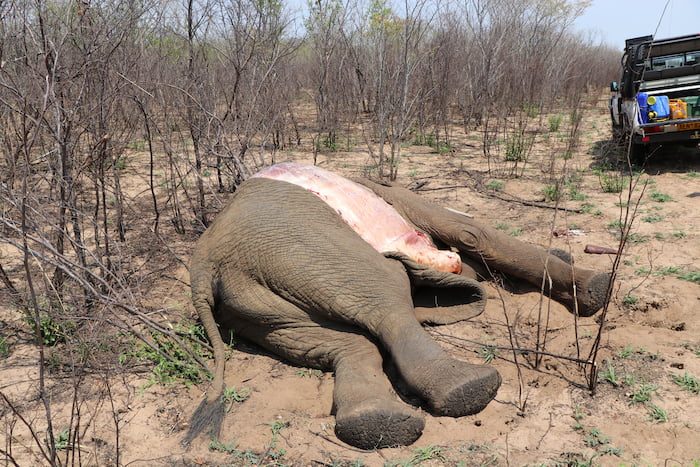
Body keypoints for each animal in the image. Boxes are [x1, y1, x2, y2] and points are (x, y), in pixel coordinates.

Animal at [184, 162, 610, 450]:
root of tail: (205, 266)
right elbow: (474, 234)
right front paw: (597, 289)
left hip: (249, 300)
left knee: (332, 341)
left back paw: (377, 426)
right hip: (307, 248)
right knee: (385, 303)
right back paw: (468, 390)